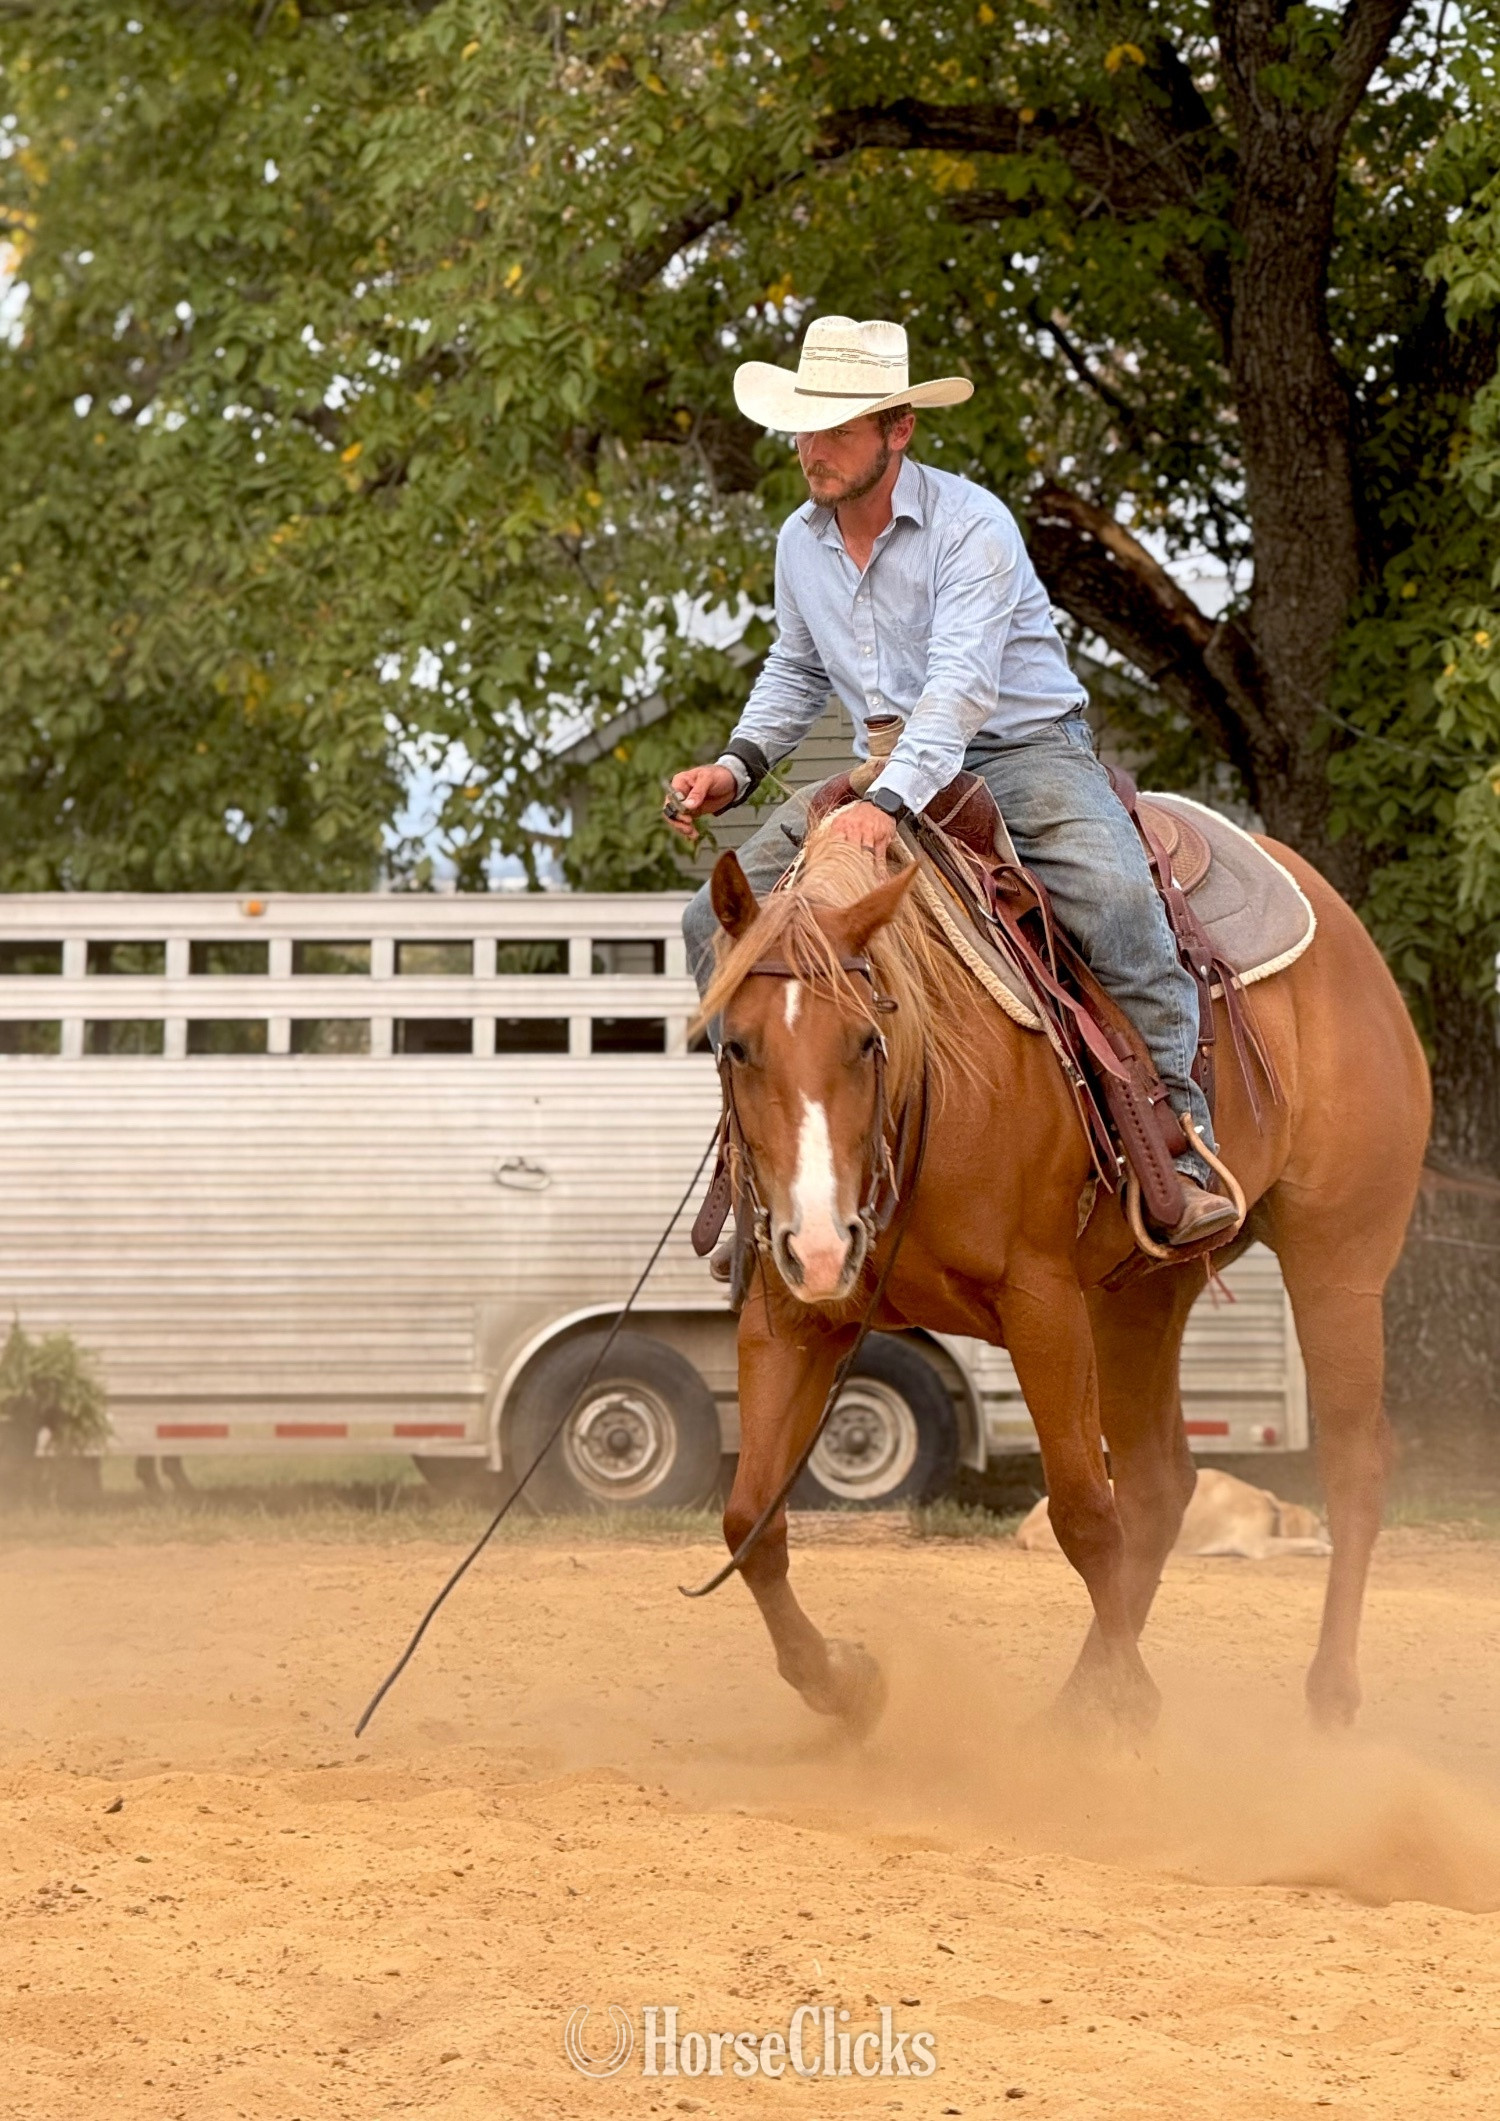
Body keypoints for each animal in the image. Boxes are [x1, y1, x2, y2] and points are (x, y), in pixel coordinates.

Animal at [696, 822, 1430, 1734]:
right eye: (735, 1045)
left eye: (867, 1039)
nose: (825, 1246)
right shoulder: (789, 1316)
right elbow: (749, 1521)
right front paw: (848, 1683)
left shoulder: (1041, 1304)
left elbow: (1084, 1513)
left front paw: (1139, 1703)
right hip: (1136, 1299)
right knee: (1158, 1486)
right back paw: (1084, 1701)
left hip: (1340, 1263)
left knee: (1350, 1467)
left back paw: (1327, 1694)